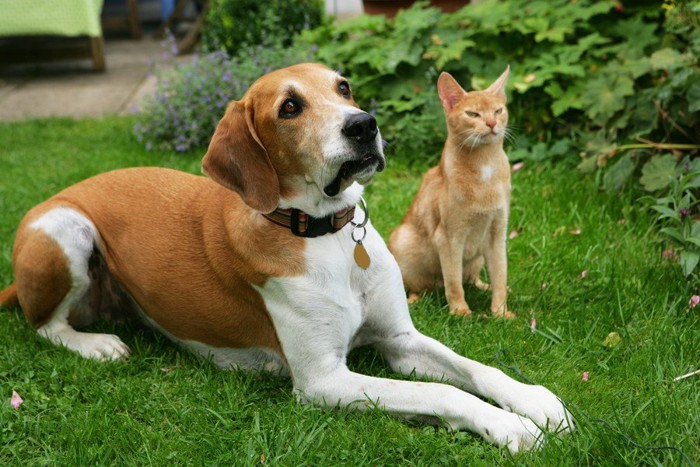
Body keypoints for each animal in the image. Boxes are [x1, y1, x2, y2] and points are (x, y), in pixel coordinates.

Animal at [388, 66, 516, 320]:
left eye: (498, 110)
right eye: (473, 114)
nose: (491, 123)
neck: (485, 165)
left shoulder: (498, 233)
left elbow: (500, 273)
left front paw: (500, 312)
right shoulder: (448, 238)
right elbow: (453, 281)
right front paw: (460, 312)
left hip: (478, 257)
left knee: (471, 278)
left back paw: (484, 286)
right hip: (401, 240)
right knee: (422, 286)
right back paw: (415, 300)